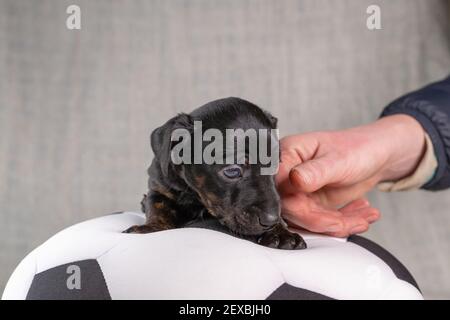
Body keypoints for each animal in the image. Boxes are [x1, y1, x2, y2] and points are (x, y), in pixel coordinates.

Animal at [125, 97, 308, 250]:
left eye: (275, 165)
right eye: (232, 171)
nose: (271, 220)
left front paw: (281, 232)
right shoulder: (159, 188)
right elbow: (158, 208)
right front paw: (151, 227)